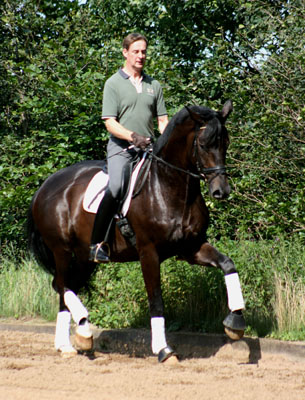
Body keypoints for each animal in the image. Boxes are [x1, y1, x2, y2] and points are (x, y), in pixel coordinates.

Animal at [26, 101, 245, 362]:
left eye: (226, 143)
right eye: (203, 144)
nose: (221, 191)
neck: (168, 186)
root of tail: (45, 186)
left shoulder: (191, 248)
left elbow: (228, 264)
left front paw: (235, 322)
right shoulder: (148, 252)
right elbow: (156, 300)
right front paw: (163, 350)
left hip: (83, 257)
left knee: (65, 288)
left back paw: (69, 343)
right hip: (61, 250)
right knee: (62, 284)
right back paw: (82, 331)